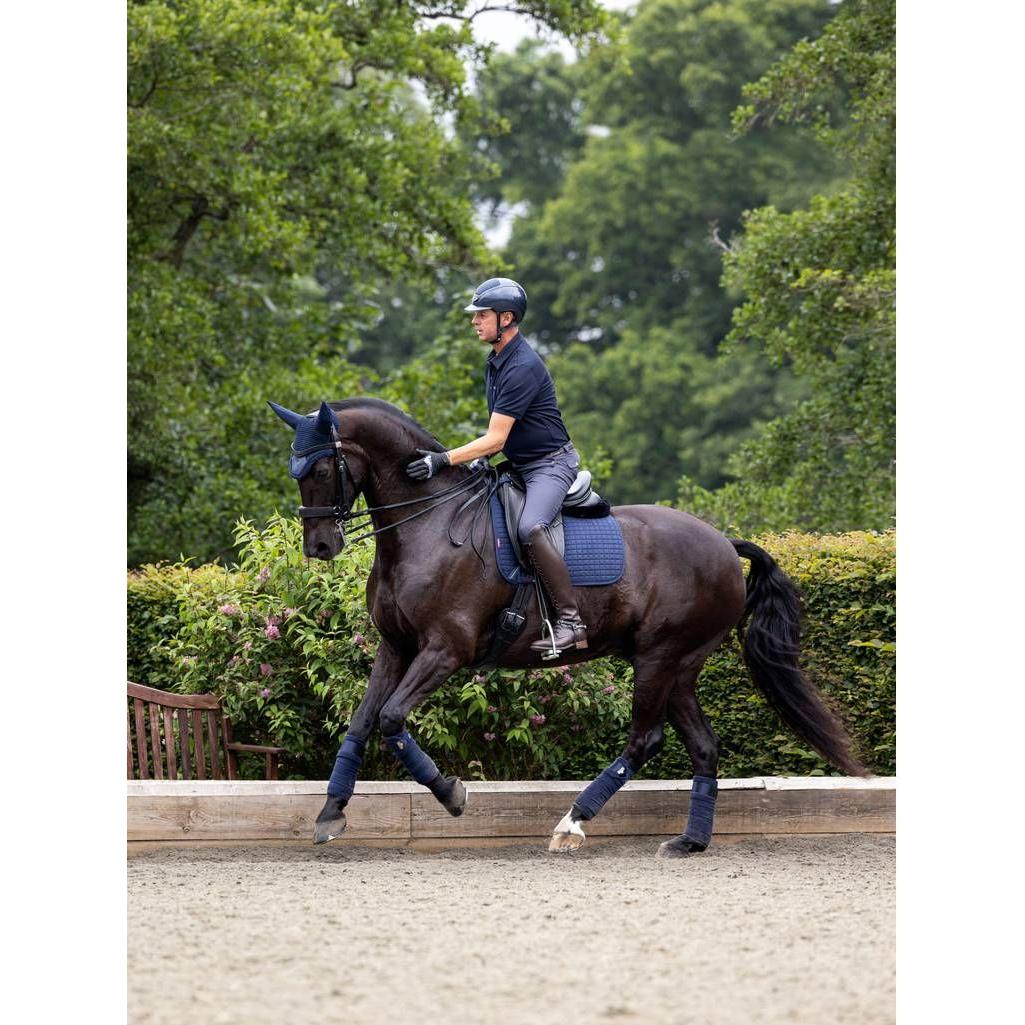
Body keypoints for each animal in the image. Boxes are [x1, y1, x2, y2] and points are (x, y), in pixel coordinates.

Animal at [270, 397, 865, 856]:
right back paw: (689, 841)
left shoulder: (445, 649)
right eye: (296, 471)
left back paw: (572, 823)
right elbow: (362, 722)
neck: (427, 527)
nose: (319, 546)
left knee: (644, 740)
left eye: (319, 470)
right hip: (678, 667)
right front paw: (330, 814)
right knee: (703, 746)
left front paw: (452, 793)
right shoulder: (395, 647)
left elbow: (392, 720)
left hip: (660, 658)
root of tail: (723, 543)